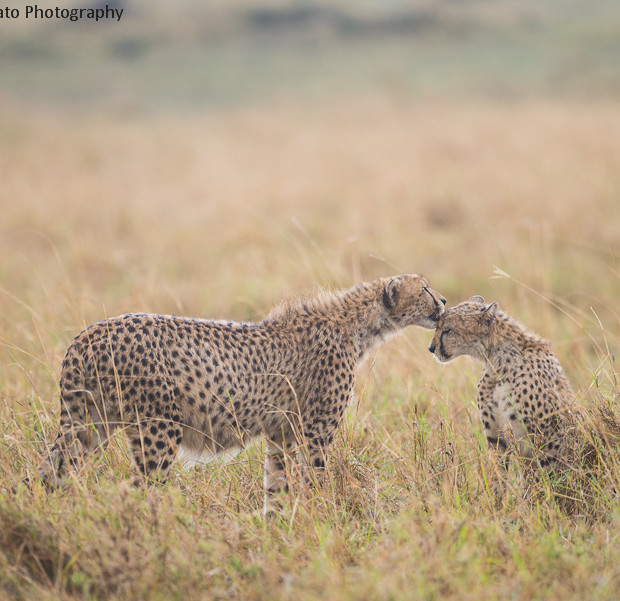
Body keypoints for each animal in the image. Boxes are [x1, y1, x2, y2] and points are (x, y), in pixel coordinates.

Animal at [34, 274, 446, 508]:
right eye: (424, 288)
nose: (443, 301)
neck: (359, 324)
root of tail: (89, 332)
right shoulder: (314, 434)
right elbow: (317, 483)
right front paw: (325, 523)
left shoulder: (282, 433)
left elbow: (276, 488)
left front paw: (280, 536)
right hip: (157, 430)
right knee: (138, 489)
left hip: (88, 425)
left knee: (46, 474)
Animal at [426, 298, 576, 472]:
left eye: (447, 330)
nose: (431, 348)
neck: (498, 364)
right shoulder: (496, 437)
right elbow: (498, 471)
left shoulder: (549, 435)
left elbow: (545, 472)